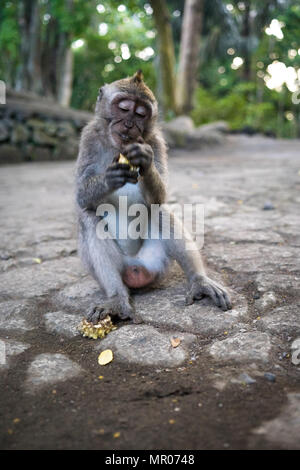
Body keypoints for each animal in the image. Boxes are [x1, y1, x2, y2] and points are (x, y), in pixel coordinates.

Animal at [75, 71, 232, 324]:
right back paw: (117, 299)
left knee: (160, 211)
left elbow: (160, 197)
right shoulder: (88, 138)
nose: (129, 124)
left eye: (141, 113)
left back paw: (200, 281)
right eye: (123, 107)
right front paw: (110, 177)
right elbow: (81, 196)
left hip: (156, 263)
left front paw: (145, 162)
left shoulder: (156, 141)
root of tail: (136, 269)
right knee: (88, 217)